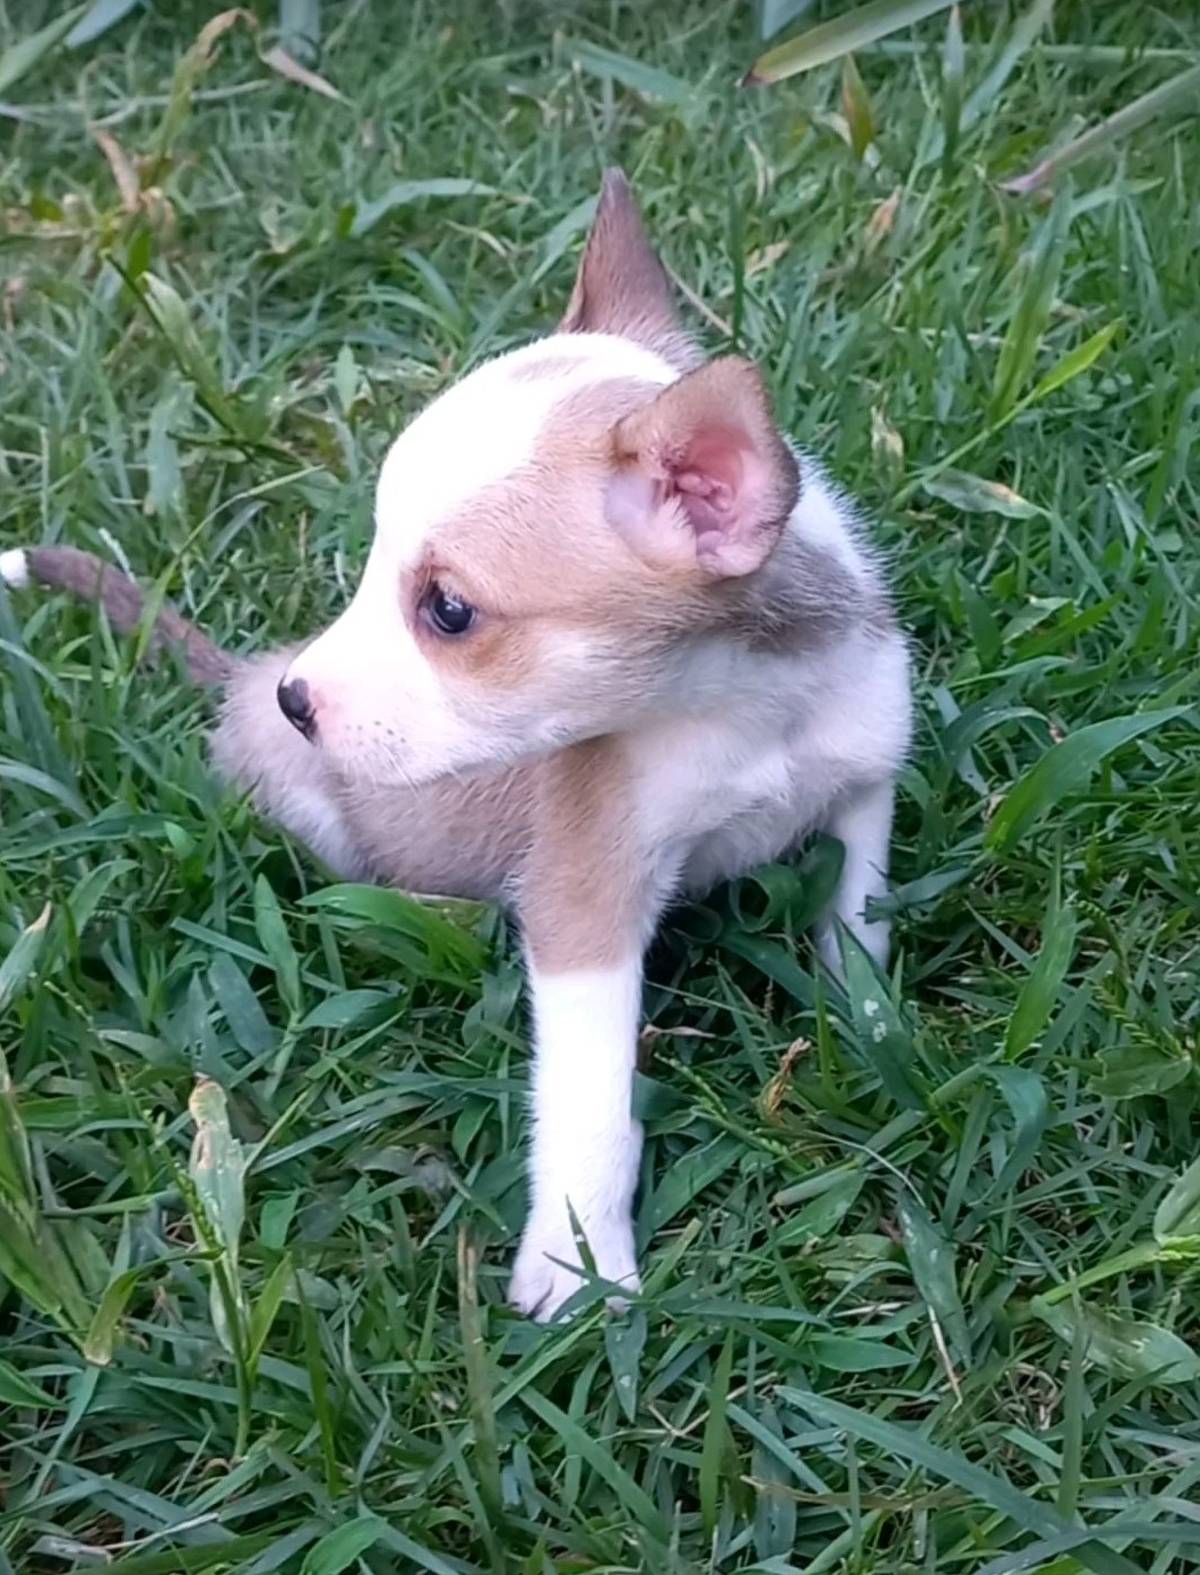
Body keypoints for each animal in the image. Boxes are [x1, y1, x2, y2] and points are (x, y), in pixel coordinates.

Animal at [1, 171, 911, 1320]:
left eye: (447, 610)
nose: (301, 701)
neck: (743, 706)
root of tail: (248, 673)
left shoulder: (862, 788)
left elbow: (857, 929)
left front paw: (871, 1036)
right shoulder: (584, 905)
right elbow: (589, 1106)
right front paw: (578, 1269)